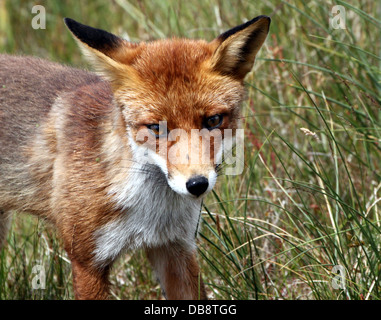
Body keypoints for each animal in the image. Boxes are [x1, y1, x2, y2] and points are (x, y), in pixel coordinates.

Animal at [0, 15, 268, 300]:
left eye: (213, 120)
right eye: (156, 128)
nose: (197, 184)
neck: (151, 210)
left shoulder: (175, 246)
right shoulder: (86, 259)